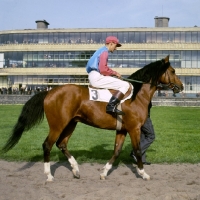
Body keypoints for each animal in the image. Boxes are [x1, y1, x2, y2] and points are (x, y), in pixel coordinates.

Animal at [1, 54, 183, 181]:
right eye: (173, 71)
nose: (181, 86)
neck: (136, 95)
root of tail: (49, 91)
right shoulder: (134, 129)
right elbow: (137, 150)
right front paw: (143, 173)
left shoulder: (122, 130)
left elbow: (116, 151)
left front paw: (104, 172)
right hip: (57, 125)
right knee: (47, 145)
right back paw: (49, 175)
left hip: (71, 124)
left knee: (61, 144)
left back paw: (75, 170)